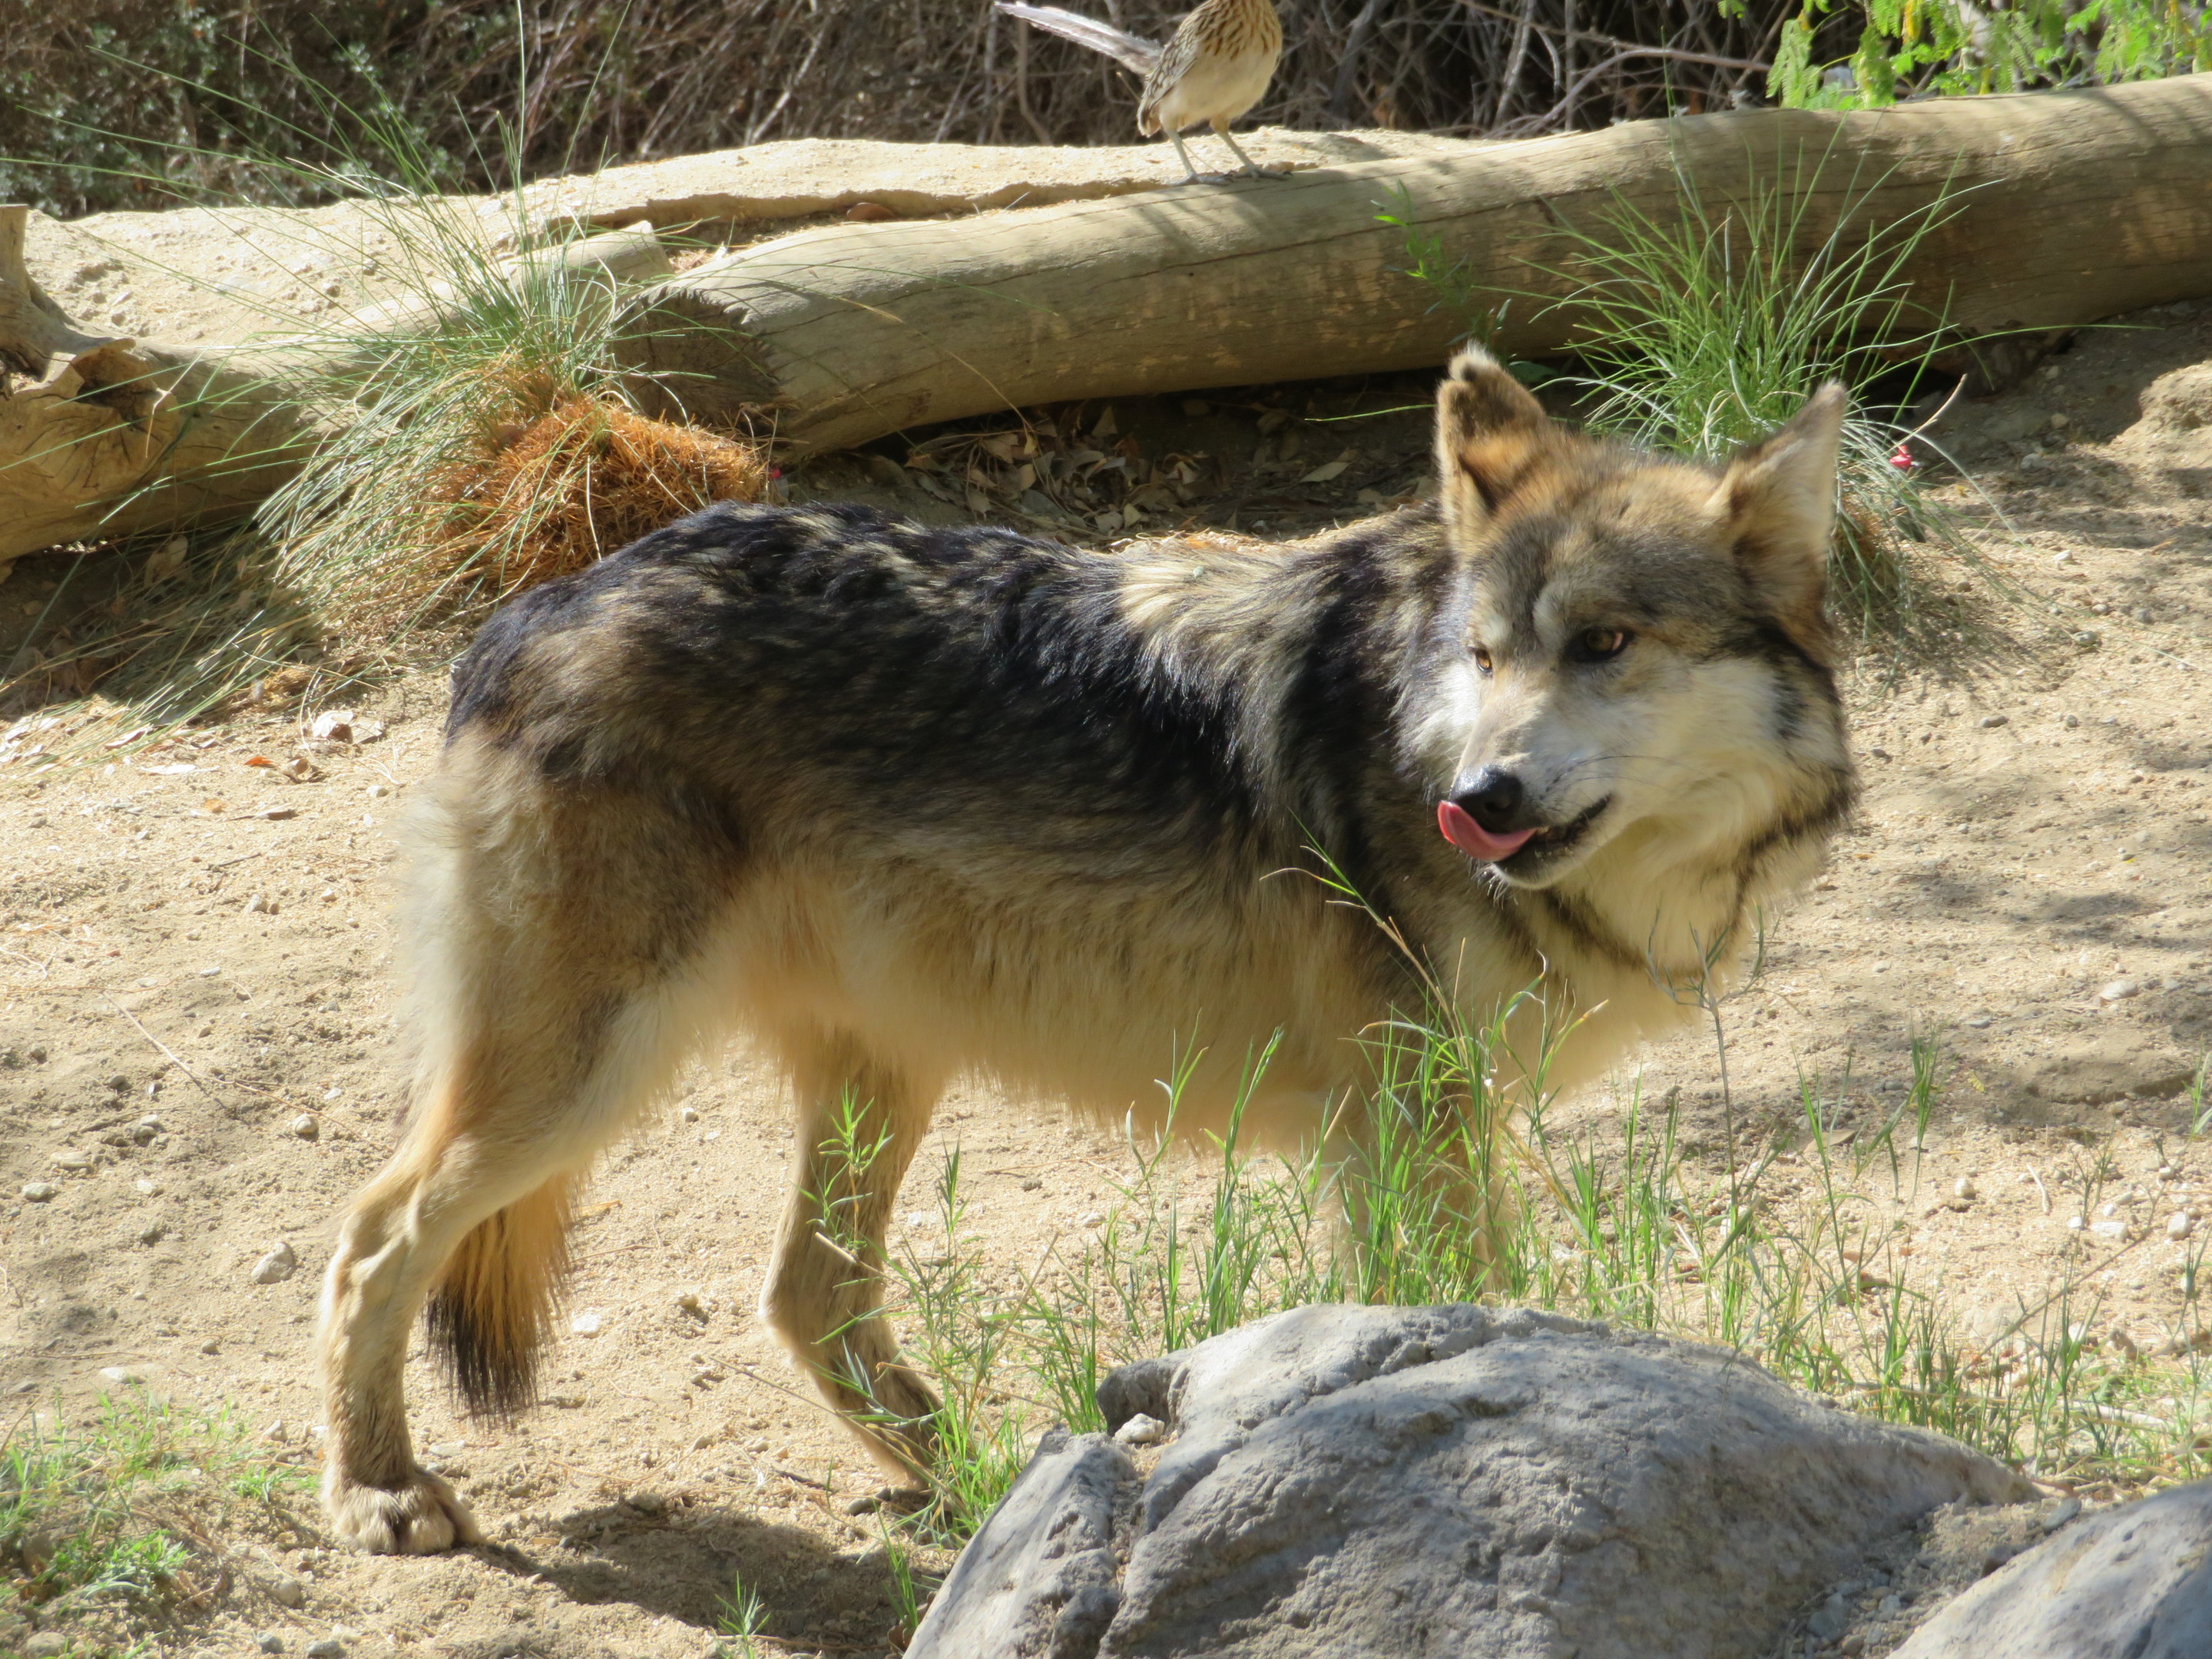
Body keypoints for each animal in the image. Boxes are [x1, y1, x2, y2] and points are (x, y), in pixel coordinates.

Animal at [315, 349, 1856, 1552]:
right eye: (1485, 658)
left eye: (1605, 644)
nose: (1475, 799)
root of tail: (531, 613)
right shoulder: (1411, 1123)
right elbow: (1447, 1318)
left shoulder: (1410, 1128)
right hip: (590, 1078)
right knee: (375, 1236)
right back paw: (382, 1491)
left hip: (885, 1071)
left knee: (807, 1296)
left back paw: (982, 1479)